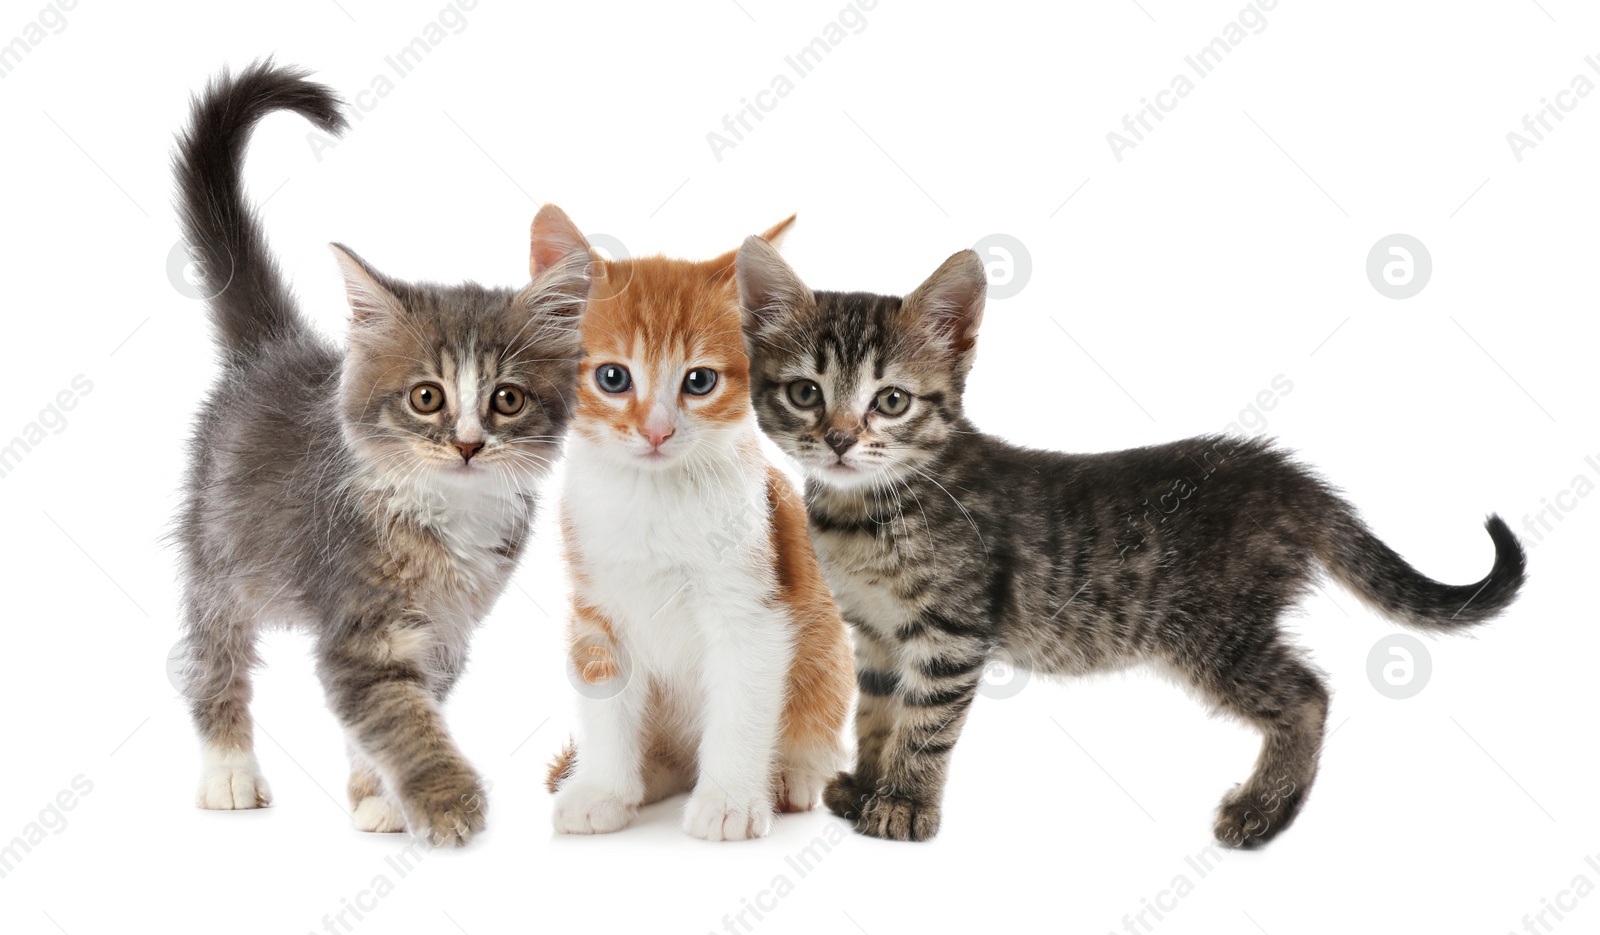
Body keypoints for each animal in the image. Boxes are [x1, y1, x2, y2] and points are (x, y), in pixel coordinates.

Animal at [170, 62, 595, 845]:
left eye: (507, 400)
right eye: (427, 397)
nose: (467, 444)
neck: (449, 512)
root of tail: (274, 351)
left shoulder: (447, 630)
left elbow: (392, 716)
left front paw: (379, 798)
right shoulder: (362, 624)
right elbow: (402, 719)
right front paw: (447, 803)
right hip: (219, 552)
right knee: (212, 652)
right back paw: (228, 769)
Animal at [534, 209, 864, 838]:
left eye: (699, 381)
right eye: (612, 378)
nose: (657, 431)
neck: (654, 499)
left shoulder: (755, 607)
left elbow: (741, 706)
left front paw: (731, 801)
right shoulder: (596, 610)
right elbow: (606, 701)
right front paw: (603, 789)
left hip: (828, 652)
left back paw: (791, 777)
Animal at [736, 235, 1523, 845]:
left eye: (891, 401)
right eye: (806, 393)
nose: (840, 440)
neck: (868, 509)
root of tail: (1285, 475)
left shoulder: (951, 632)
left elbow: (924, 725)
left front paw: (903, 803)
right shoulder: (875, 634)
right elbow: (876, 711)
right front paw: (868, 783)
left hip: (1212, 629)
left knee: (1308, 695)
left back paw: (1264, 810)